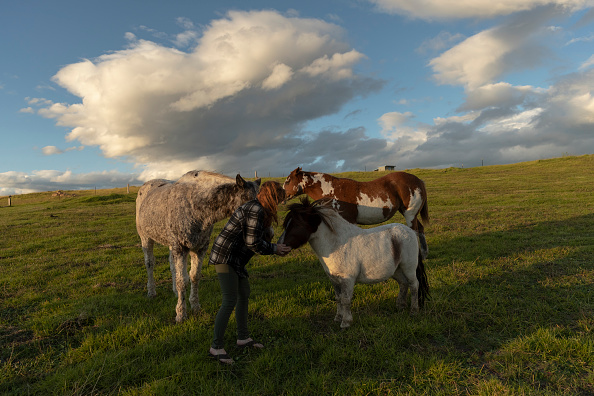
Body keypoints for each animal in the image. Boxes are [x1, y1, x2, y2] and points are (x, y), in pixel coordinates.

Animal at [139, 170, 262, 322]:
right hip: (146, 238)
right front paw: (181, 314)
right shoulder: (181, 248)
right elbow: (182, 281)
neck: (196, 208)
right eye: (247, 200)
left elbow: (194, 277)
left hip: (171, 244)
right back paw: (151, 292)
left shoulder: (199, 249)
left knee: (172, 265)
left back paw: (175, 292)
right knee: (150, 263)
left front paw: (195, 306)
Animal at [278, 198, 426, 328]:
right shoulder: (334, 279)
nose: (280, 246)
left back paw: (414, 311)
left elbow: (346, 299)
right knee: (403, 284)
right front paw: (338, 318)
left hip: (409, 269)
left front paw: (346, 322)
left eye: (297, 224)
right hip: (396, 270)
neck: (337, 244)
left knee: (414, 285)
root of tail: (411, 232)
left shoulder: (347, 279)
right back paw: (400, 306)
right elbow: (338, 298)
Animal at [282, 167, 426, 256]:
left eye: (288, 180)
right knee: (420, 229)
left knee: (415, 231)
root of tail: (418, 180)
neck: (333, 191)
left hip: (410, 214)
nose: (281, 196)